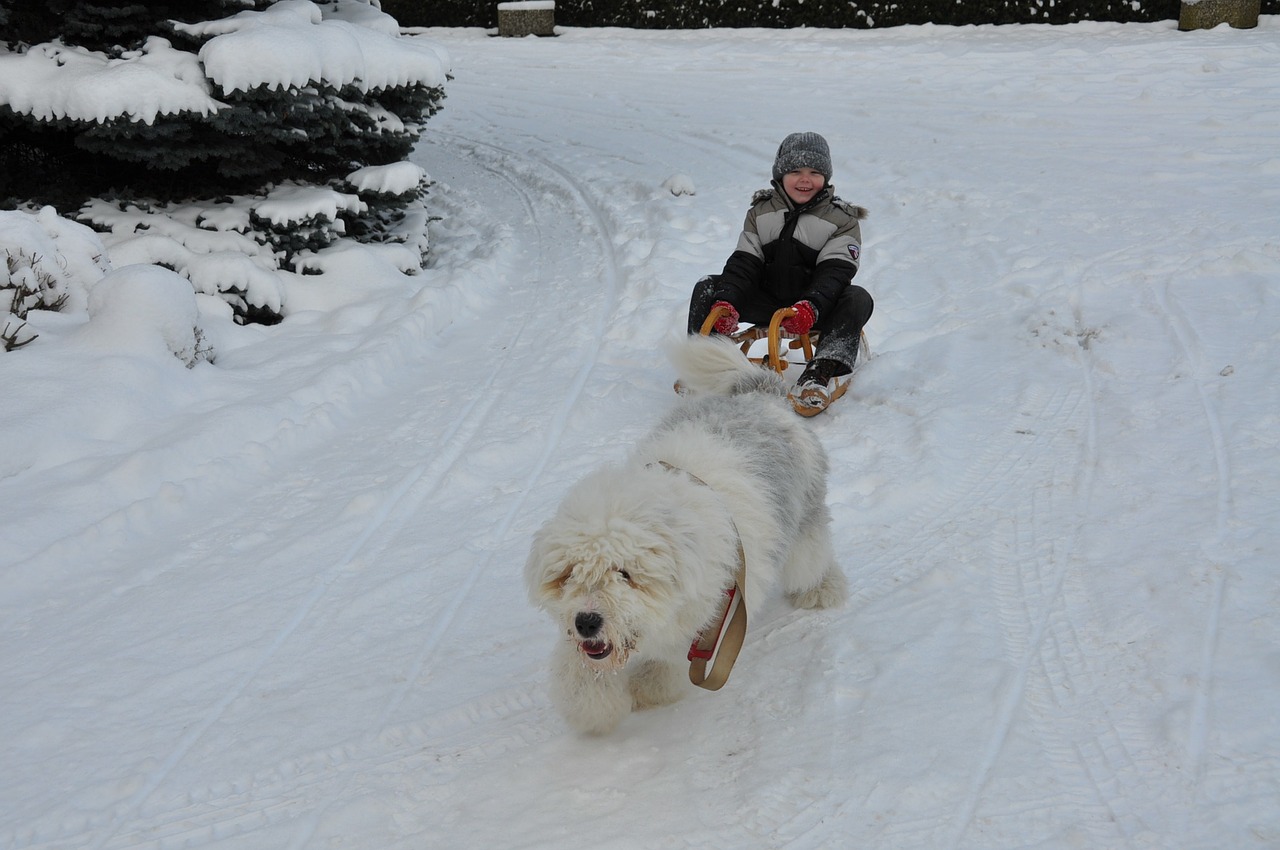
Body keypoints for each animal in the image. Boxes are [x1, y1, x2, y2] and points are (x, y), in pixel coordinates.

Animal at [524, 335, 844, 732]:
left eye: (624, 574)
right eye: (569, 574)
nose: (586, 621)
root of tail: (760, 396)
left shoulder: (710, 616)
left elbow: (666, 663)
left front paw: (648, 689)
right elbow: (580, 676)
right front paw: (595, 709)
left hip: (803, 524)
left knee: (811, 560)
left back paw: (822, 590)